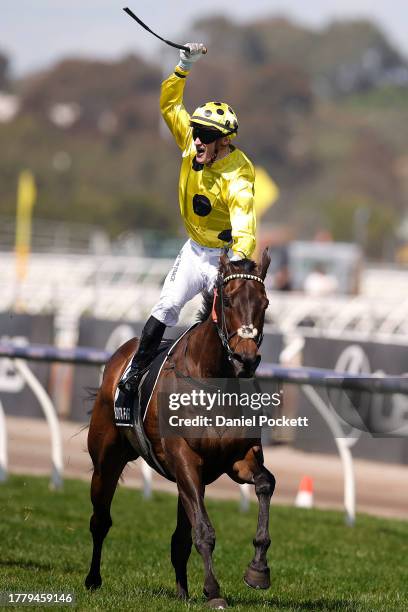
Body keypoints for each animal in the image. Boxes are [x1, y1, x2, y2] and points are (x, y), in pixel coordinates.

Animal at [86, 249, 278, 608]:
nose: (246, 360)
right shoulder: (185, 458)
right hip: (106, 460)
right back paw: (92, 579)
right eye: (228, 301)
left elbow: (265, 484)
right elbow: (203, 530)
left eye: (265, 303)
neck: (211, 381)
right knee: (100, 520)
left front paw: (258, 569)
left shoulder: (237, 459)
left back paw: (182, 591)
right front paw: (214, 591)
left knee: (179, 539)